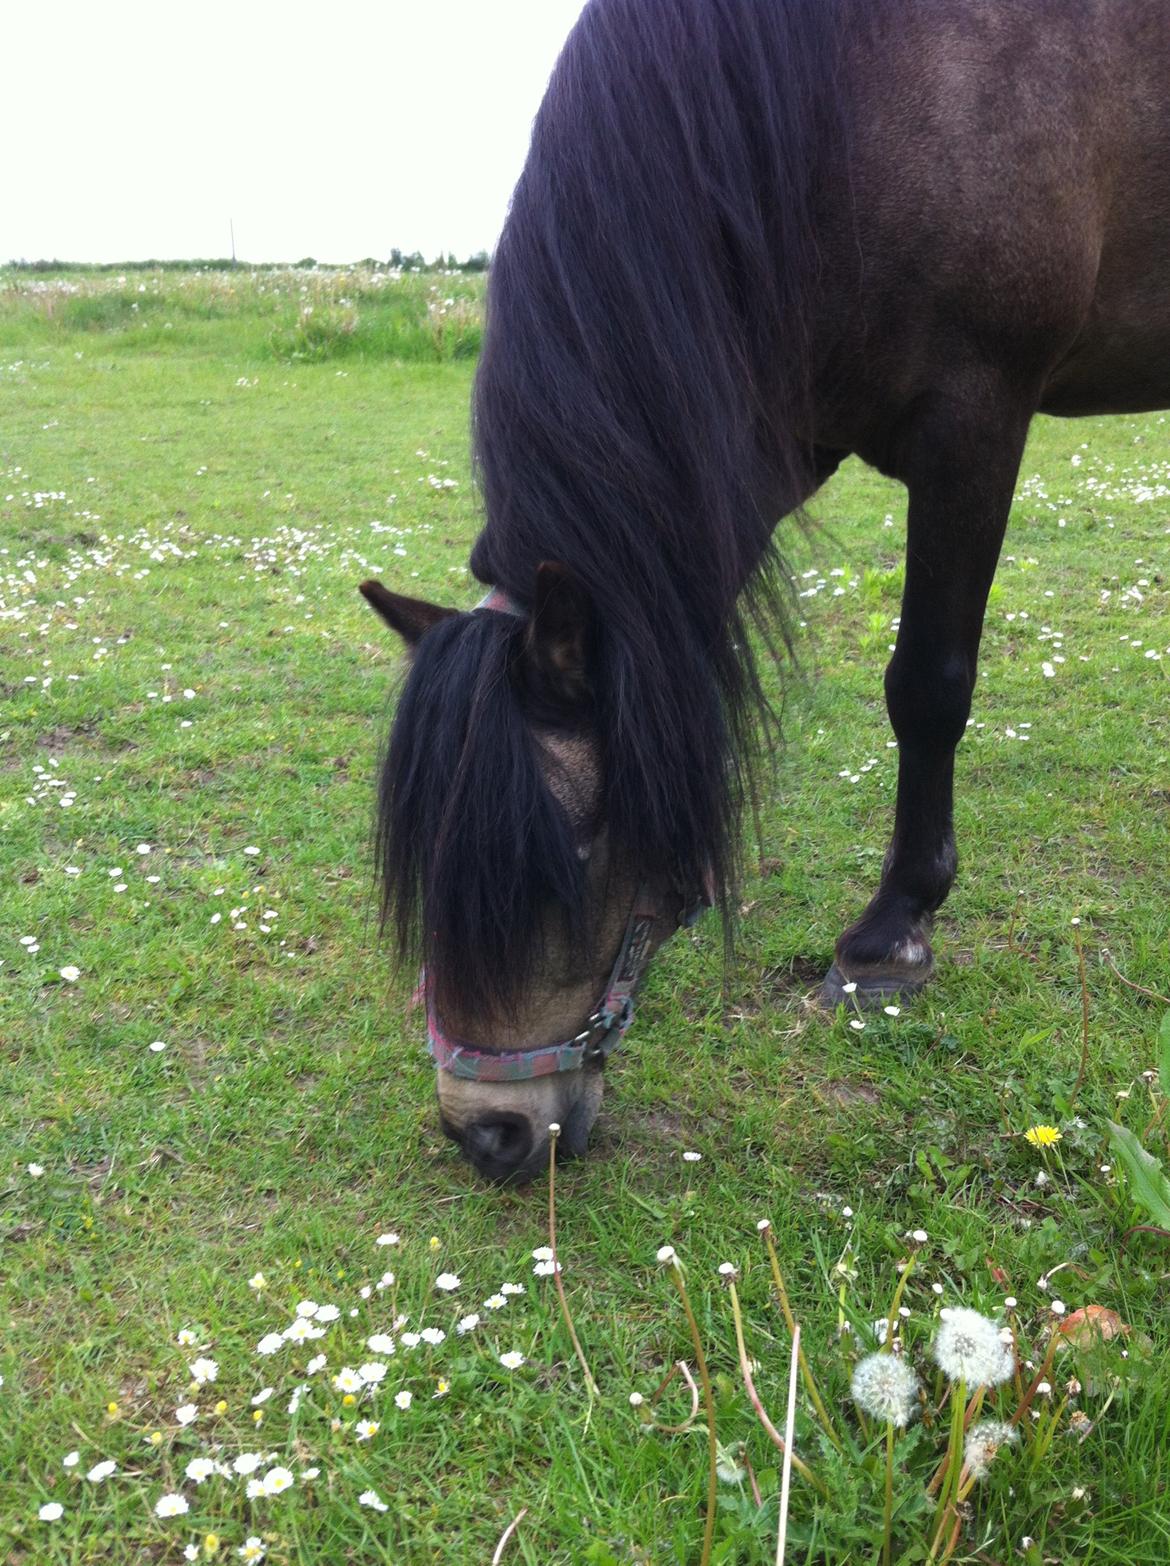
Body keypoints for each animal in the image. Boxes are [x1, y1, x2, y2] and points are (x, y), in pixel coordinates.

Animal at [359, 0, 1170, 1182]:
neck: (844, 106)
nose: (487, 1132)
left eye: (574, 851)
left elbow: (927, 686)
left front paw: (889, 937)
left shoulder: (976, 416)